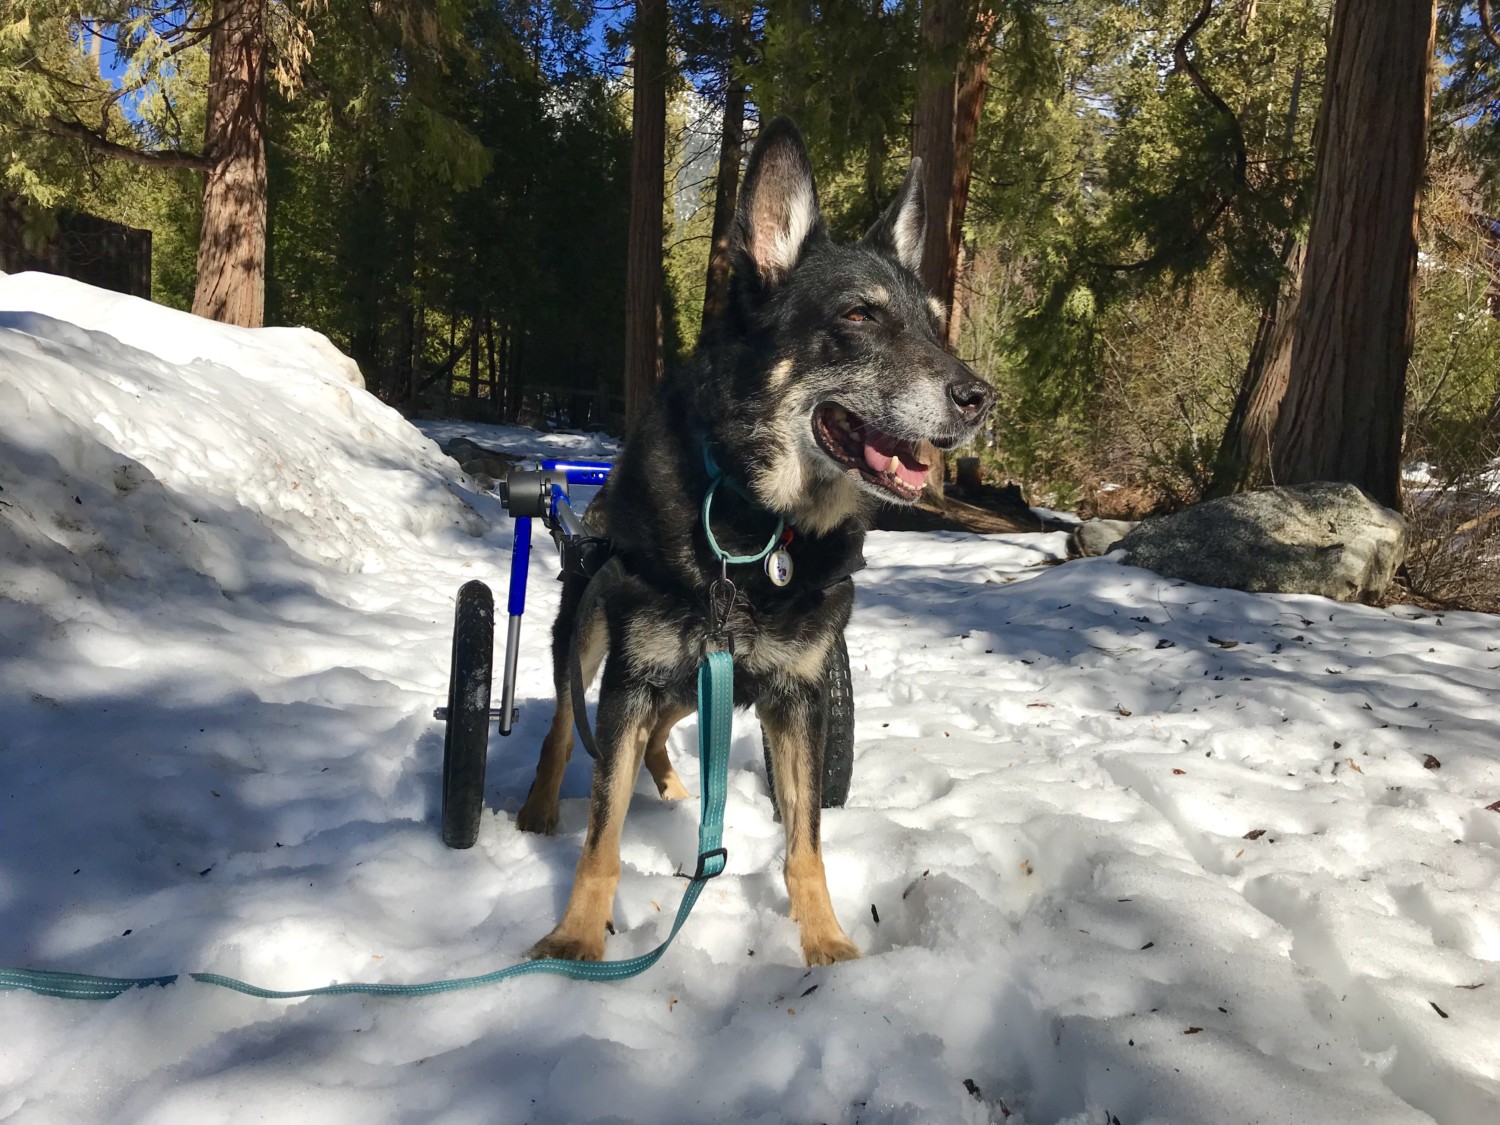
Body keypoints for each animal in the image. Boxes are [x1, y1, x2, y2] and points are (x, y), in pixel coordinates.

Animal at [516, 117, 996, 972]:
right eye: (861, 315)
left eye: (935, 322)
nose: (981, 398)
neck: (754, 526)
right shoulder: (632, 679)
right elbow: (601, 837)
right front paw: (576, 934)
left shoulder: (797, 697)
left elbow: (806, 841)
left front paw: (826, 941)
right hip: (592, 638)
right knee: (564, 728)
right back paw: (541, 808)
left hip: (687, 683)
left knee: (659, 737)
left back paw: (675, 786)